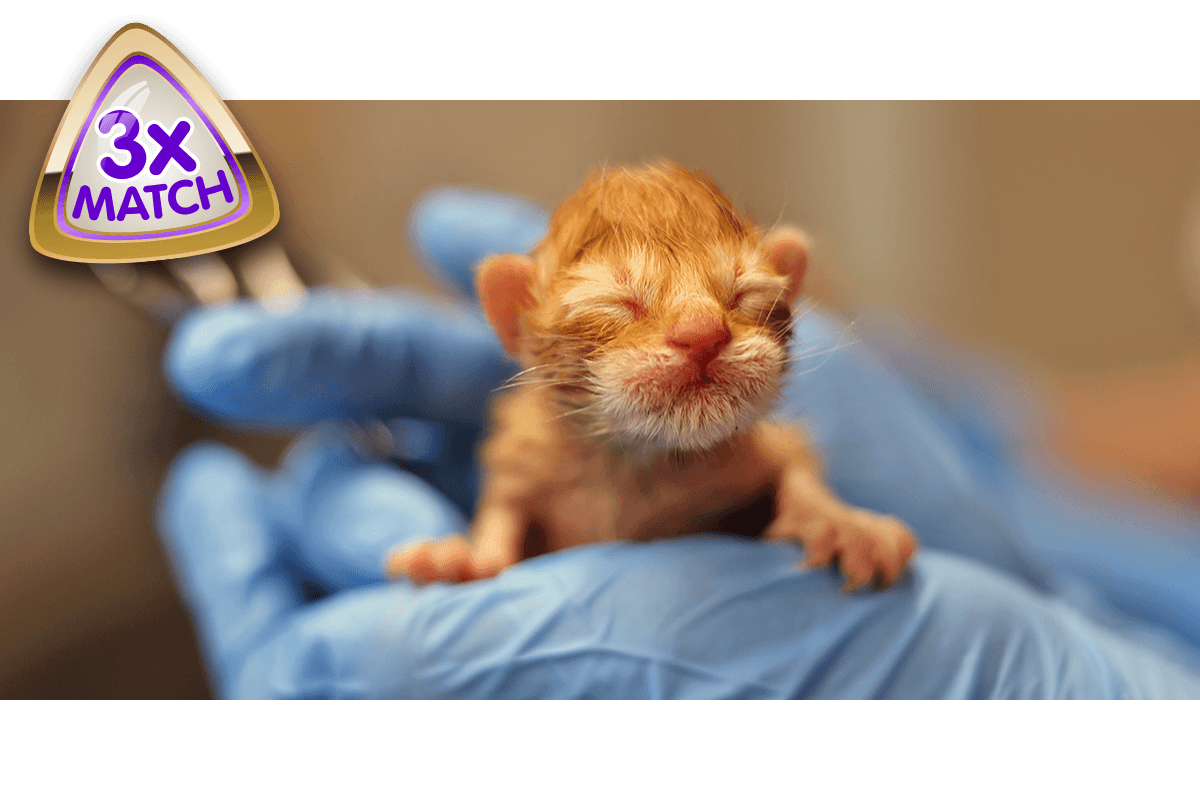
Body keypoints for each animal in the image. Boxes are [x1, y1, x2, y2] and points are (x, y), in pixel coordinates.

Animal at [388, 160, 912, 587]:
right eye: (620, 301)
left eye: (742, 293)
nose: (702, 332)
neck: (641, 465)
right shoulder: (526, 450)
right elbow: (503, 509)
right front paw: (459, 559)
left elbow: (795, 462)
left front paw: (846, 526)